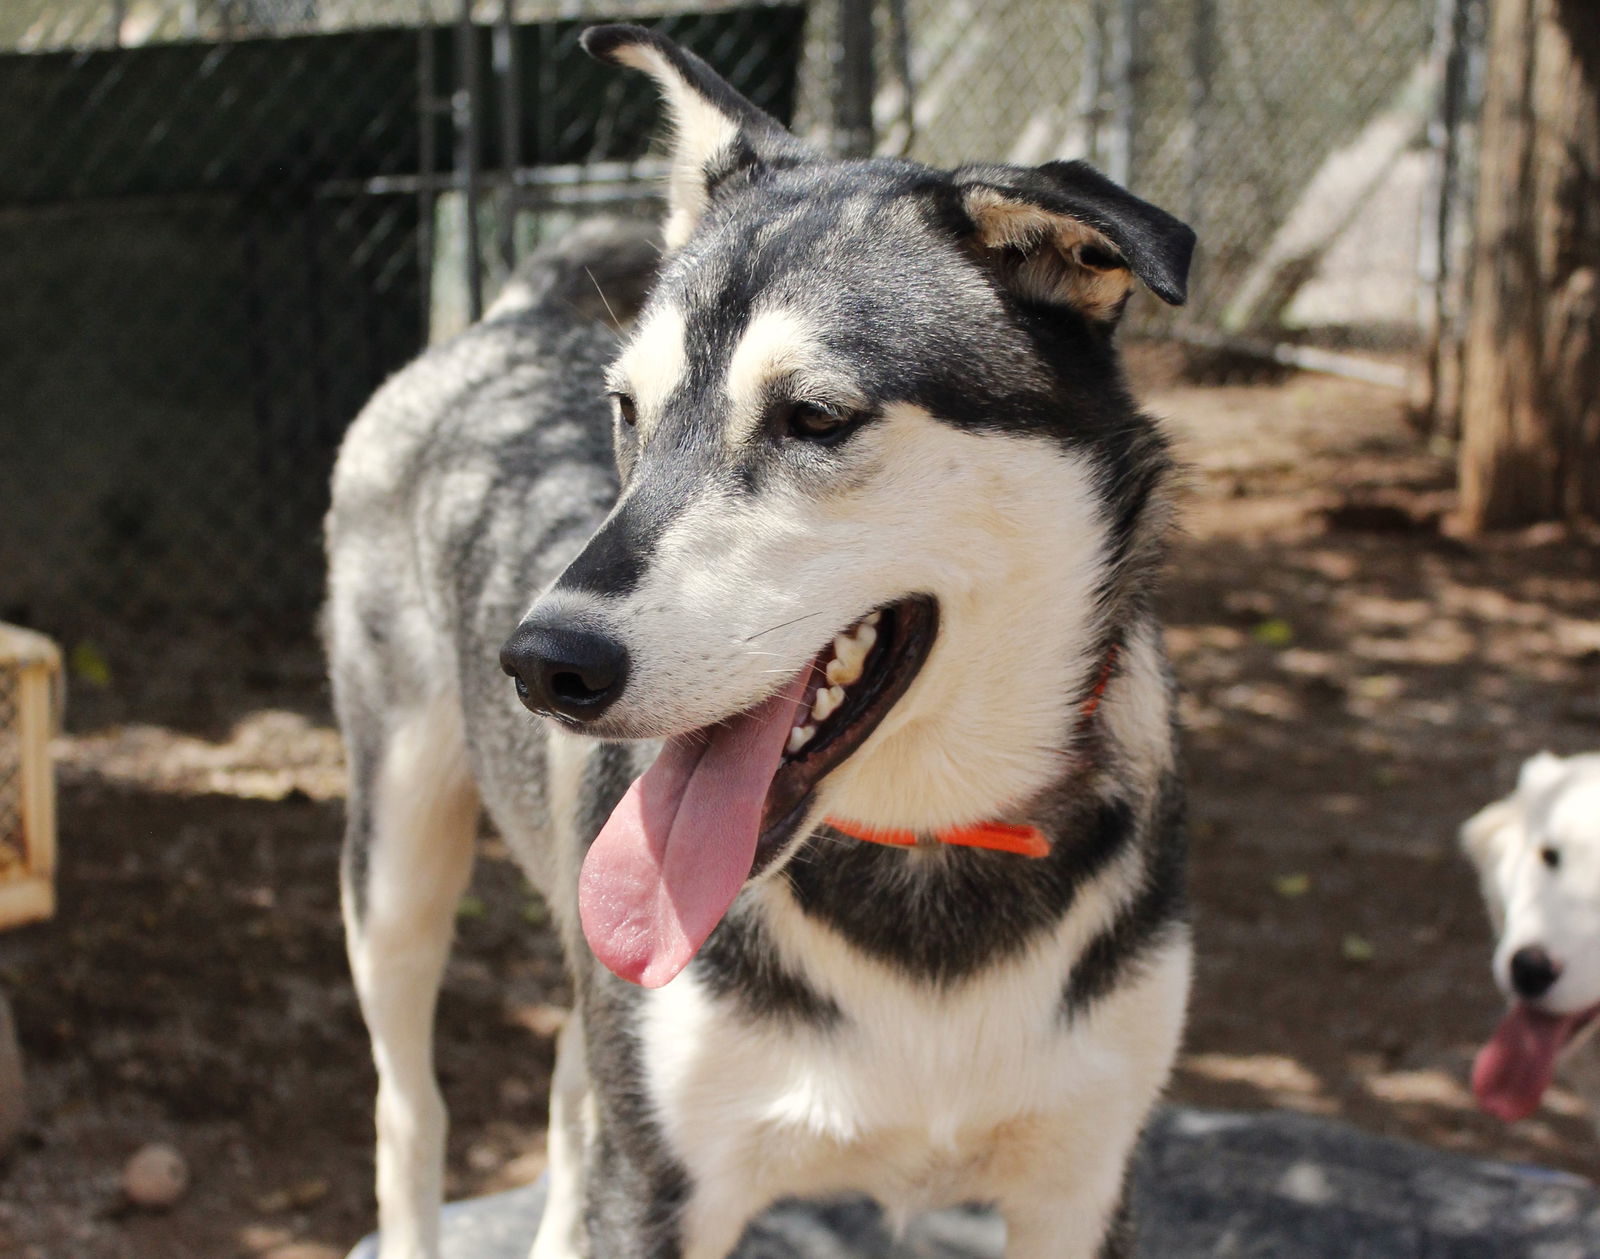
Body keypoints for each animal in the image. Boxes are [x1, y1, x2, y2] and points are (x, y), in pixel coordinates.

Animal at [324, 22, 1196, 1259]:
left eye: (815, 417)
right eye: (627, 414)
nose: (545, 663)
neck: (923, 840)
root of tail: (504, 320)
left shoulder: (1081, 1182)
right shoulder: (660, 1182)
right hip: (394, 856)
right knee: (409, 1108)